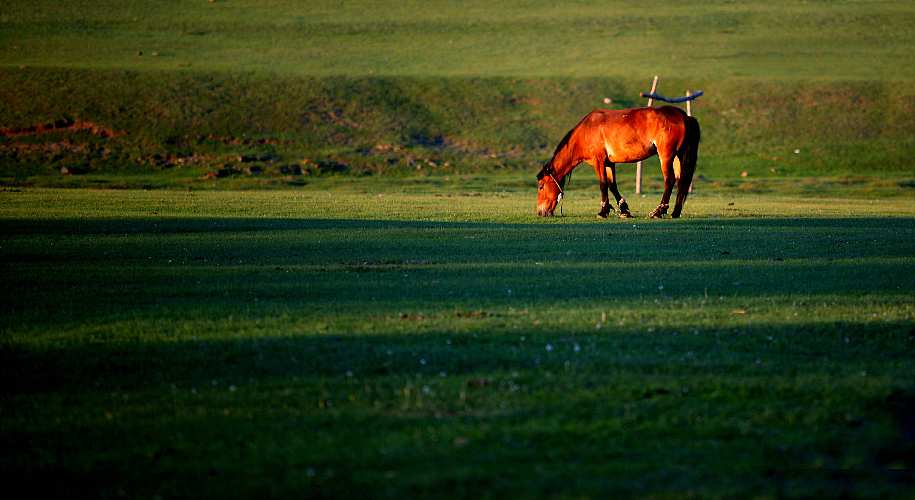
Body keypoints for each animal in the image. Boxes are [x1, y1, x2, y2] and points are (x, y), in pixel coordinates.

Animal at [536, 105, 700, 219]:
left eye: (541, 186)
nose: (540, 212)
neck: (586, 131)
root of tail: (685, 116)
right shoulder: (609, 163)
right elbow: (612, 185)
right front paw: (624, 210)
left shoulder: (599, 161)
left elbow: (603, 184)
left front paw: (602, 211)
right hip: (678, 156)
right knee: (681, 181)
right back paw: (675, 212)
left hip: (666, 156)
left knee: (670, 180)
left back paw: (659, 211)